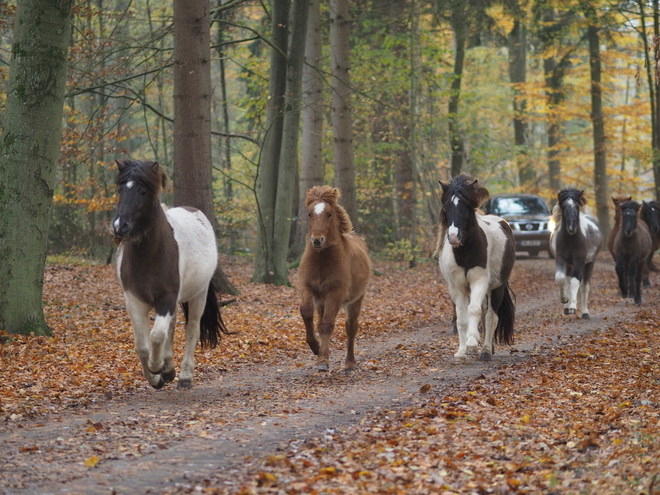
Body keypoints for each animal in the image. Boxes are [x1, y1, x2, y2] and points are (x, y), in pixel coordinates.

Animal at [111, 161, 229, 390]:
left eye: (143, 191)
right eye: (120, 190)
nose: (120, 226)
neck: (149, 256)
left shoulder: (167, 297)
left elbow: (157, 336)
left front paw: (157, 367)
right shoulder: (134, 301)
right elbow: (142, 346)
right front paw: (157, 377)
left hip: (199, 294)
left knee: (192, 329)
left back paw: (184, 376)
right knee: (172, 328)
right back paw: (169, 368)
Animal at [300, 186, 372, 372]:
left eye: (329, 214)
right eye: (309, 214)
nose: (317, 240)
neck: (322, 261)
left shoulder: (336, 293)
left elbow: (327, 324)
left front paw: (323, 361)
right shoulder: (308, 287)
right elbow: (306, 312)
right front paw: (315, 347)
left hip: (355, 300)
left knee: (351, 327)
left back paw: (350, 363)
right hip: (322, 301)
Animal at [438, 176, 516, 362]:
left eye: (466, 206)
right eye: (446, 206)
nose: (453, 236)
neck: (465, 251)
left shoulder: (479, 281)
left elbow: (474, 311)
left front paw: (472, 344)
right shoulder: (458, 288)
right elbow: (462, 319)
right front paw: (461, 352)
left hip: (496, 287)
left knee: (491, 316)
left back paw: (486, 351)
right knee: (484, 311)